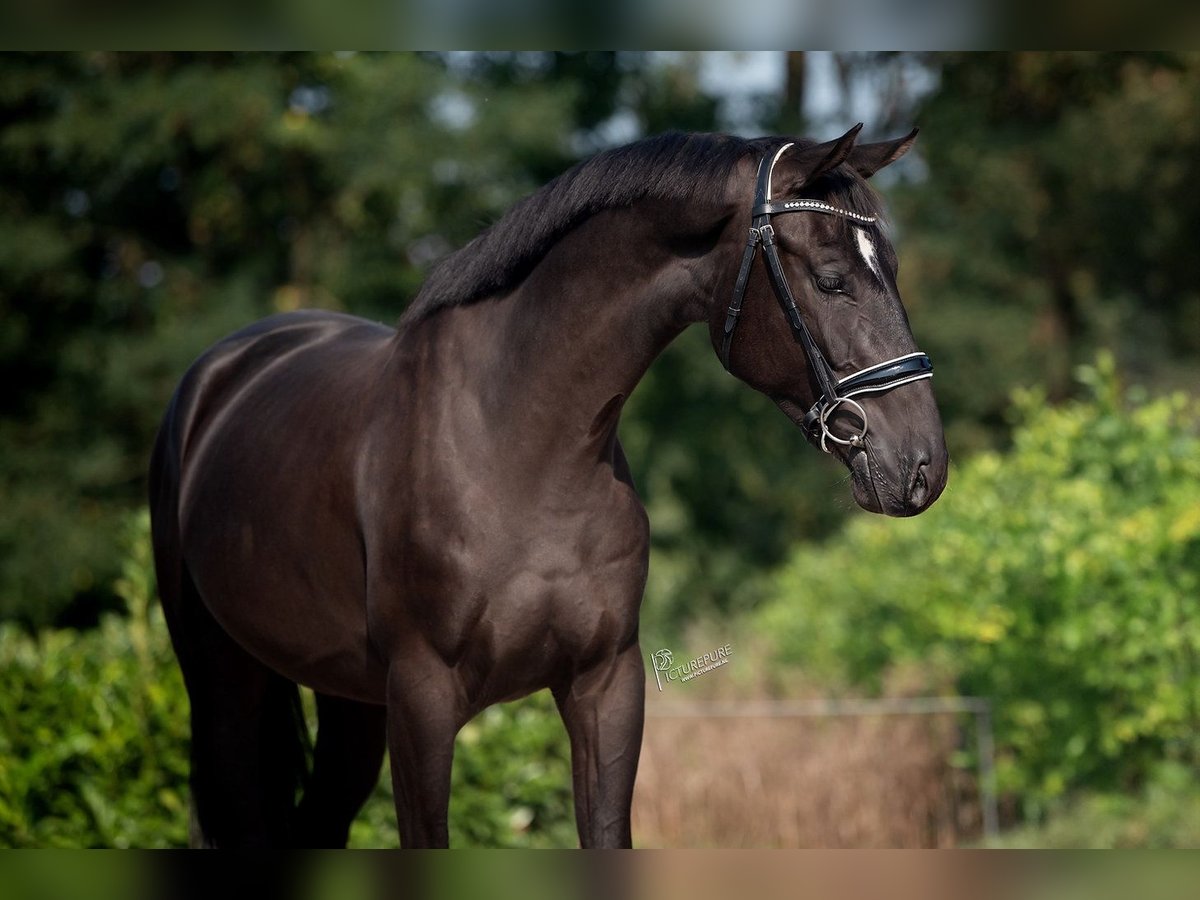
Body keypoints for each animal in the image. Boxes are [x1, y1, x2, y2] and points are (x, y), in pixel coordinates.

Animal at [147, 127, 945, 854]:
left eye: (894, 268)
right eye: (832, 278)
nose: (922, 466)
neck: (519, 448)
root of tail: (222, 371)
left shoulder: (605, 685)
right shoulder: (422, 699)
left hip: (347, 701)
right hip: (224, 685)